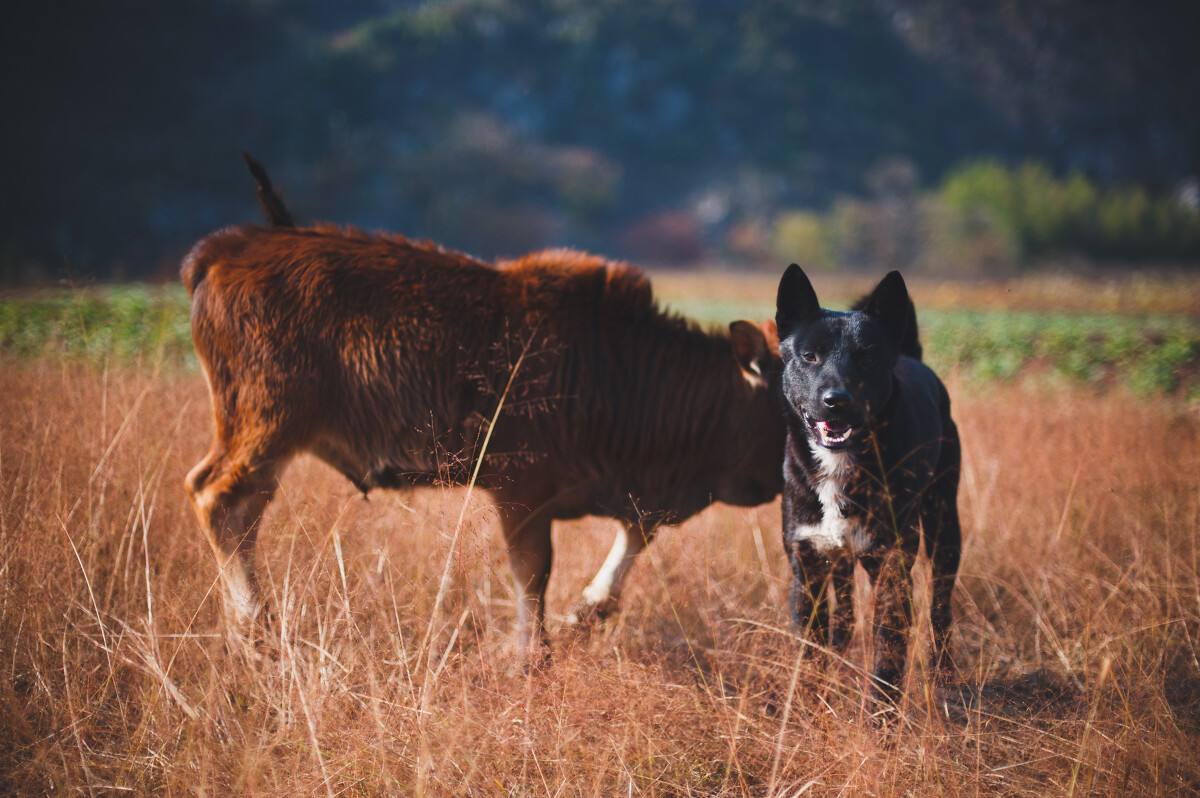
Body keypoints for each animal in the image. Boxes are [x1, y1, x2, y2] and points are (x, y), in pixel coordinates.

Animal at [177, 214, 777, 652]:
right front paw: (534, 655)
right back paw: (255, 629)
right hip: (267, 427)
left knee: (242, 510)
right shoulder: (522, 492)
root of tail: (231, 249)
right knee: (221, 499)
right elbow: (533, 575)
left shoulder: (634, 493)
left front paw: (581, 615)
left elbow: (631, 538)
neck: (616, 362)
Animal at [777, 262, 964, 705]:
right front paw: (807, 705)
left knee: (940, 606)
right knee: (844, 614)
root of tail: (911, 354)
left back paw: (944, 677)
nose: (836, 400)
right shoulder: (807, 565)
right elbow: (811, 649)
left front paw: (881, 716)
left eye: (866, 357)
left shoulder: (892, 569)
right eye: (809, 356)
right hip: (841, 559)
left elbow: (888, 658)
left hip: (944, 527)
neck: (841, 464)